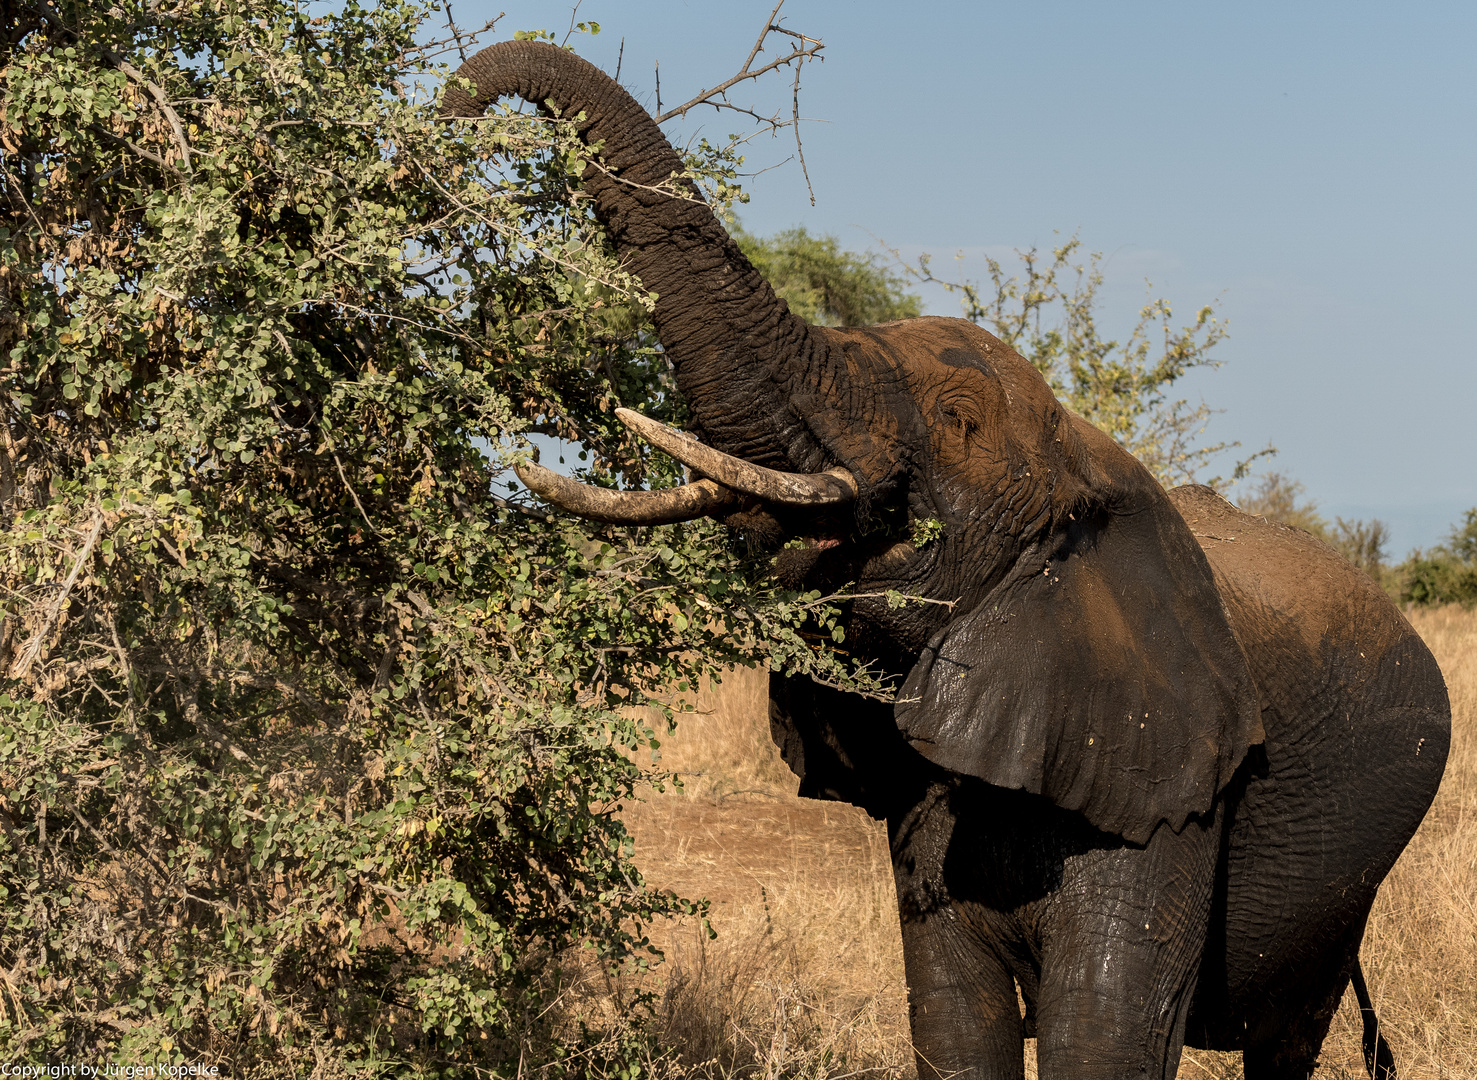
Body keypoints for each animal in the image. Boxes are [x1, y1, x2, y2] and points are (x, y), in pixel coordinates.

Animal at [443, 40, 1447, 1080]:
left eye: (959, 419)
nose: (449, 114)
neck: (1088, 466)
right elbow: (954, 1016)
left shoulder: (1175, 775)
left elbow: (1105, 1029)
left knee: (1287, 1034)